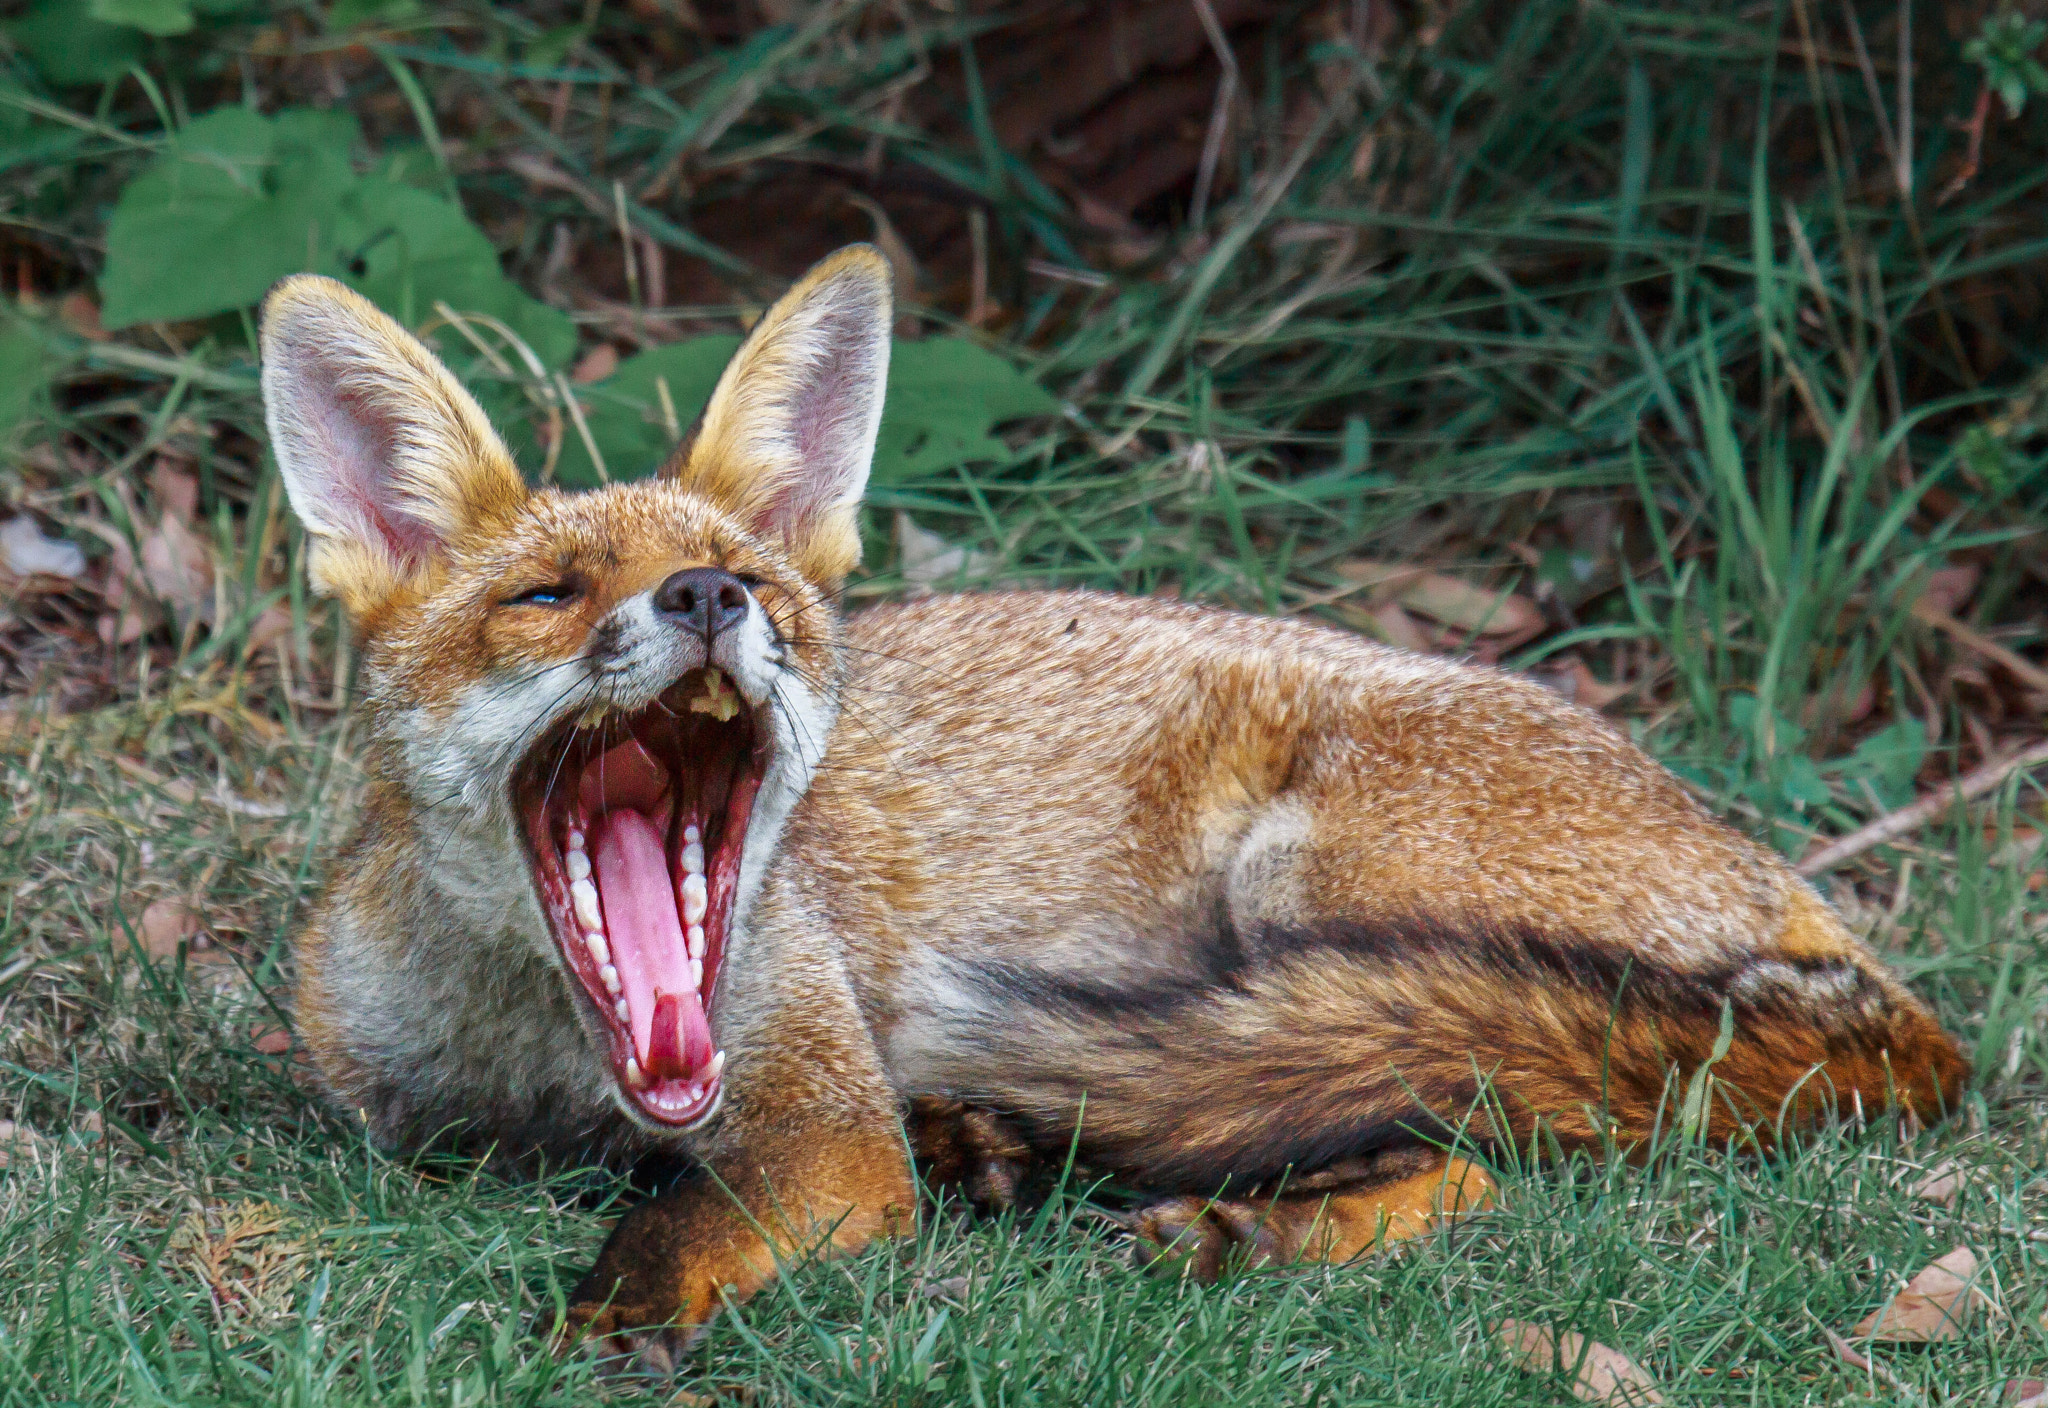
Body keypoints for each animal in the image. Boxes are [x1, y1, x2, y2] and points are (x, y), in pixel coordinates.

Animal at [259, 243, 1965, 1372]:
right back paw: (1015, 1150)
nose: (704, 600)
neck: (559, 1063)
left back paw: (1245, 1230)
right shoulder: (390, 1108)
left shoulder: (822, 1125)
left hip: (1312, 899)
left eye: (748, 584)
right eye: (546, 595)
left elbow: (688, 1221)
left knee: (1481, 1141)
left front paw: (617, 1321)